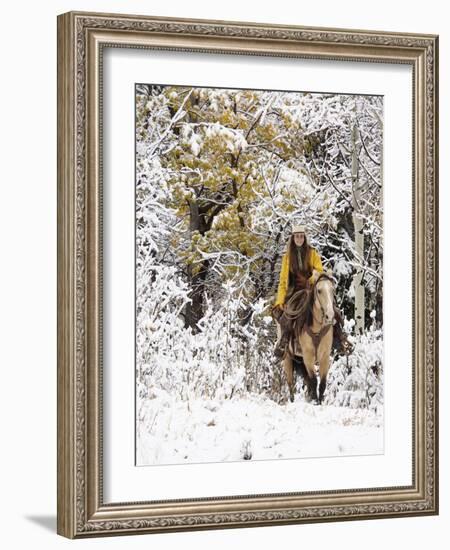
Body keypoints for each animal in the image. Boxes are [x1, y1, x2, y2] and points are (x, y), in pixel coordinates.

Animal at [276, 270, 336, 406]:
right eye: (319, 290)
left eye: (332, 289)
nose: (330, 316)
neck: (317, 328)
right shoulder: (308, 356)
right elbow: (313, 381)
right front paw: (315, 401)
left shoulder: (324, 357)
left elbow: (322, 383)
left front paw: (319, 401)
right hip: (288, 359)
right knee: (291, 385)